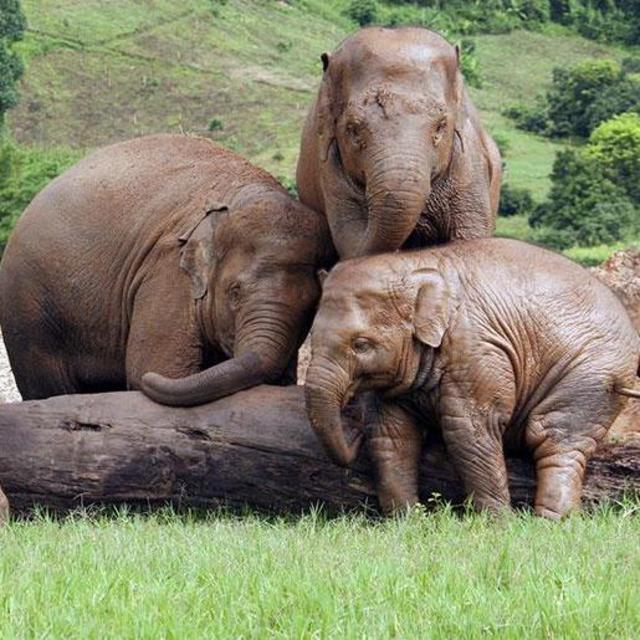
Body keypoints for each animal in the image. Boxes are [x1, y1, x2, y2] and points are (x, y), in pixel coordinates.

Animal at [0, 134, 335, 405]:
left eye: (311, 307)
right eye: (234, 292)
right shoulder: (167, 273)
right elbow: (158, 368)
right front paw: (148, 376)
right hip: (29, 311)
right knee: (48, 387)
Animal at [304, 238, 640, 518]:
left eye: (361, 345)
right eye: (311, 337)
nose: (353, 433)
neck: (416, 265)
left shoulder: (477, 350)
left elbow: (469, 430)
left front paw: (496, 525)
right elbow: (391, 435)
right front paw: (407, 522)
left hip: (593, 374)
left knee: (554, 438)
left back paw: (551, 522)